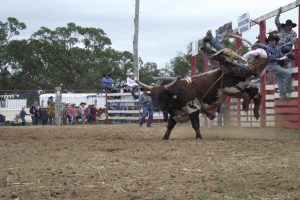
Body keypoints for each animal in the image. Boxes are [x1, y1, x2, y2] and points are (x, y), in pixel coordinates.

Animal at [136, 42, 270, 140]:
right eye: (152, 96)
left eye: (162, 95)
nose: (156, 107)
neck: (177, 93)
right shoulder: (175, 114)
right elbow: (170, 126)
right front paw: (165, 137)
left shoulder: (193, 108)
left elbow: (195, 124)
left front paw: (199, 137)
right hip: (236, 91)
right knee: (257, 94)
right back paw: (255, 111)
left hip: (232, 88)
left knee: (254, 90)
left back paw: (247, 105)